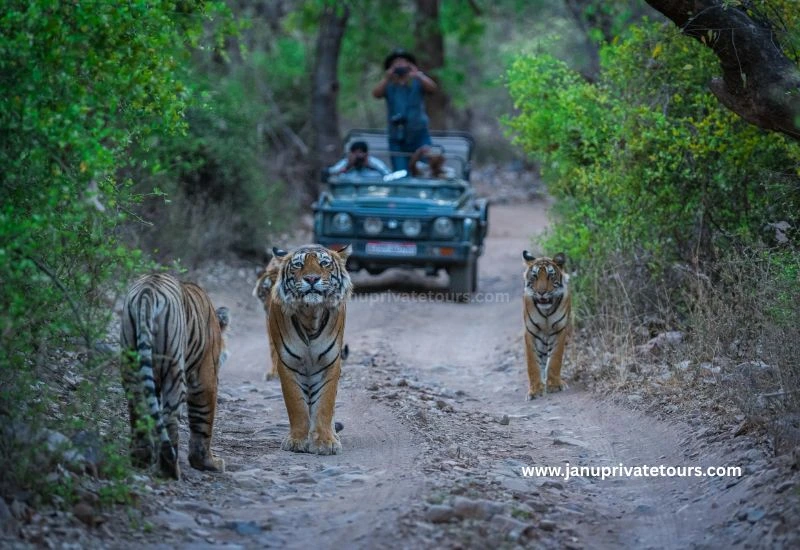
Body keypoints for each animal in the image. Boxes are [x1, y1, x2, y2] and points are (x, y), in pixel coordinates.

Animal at [120, 274, 229, 479]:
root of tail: (148, 292)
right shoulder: (205, 378)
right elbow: (203, 421)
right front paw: (208, 463)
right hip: (174, 370)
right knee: (169, 418)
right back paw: (169, 470)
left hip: (131, 363)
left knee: (139, 410)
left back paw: (142, 459)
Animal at [267, 244, 352, 455]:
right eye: (298, 265)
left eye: (324, 263)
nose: (312, 279)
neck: (310, 315)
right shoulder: (287, 363)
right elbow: (296, 404)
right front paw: (297, 440)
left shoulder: (330, 362)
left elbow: (325, 404)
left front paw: (325, 442)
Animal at [522, 251, 572, 400]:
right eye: (535, 276)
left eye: (550, 276)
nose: (541, 292)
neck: (546, 312)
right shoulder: (531, 332)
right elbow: (532, 363)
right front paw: (535, 390)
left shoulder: (559, 330)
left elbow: (555, 359)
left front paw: (554, 385)